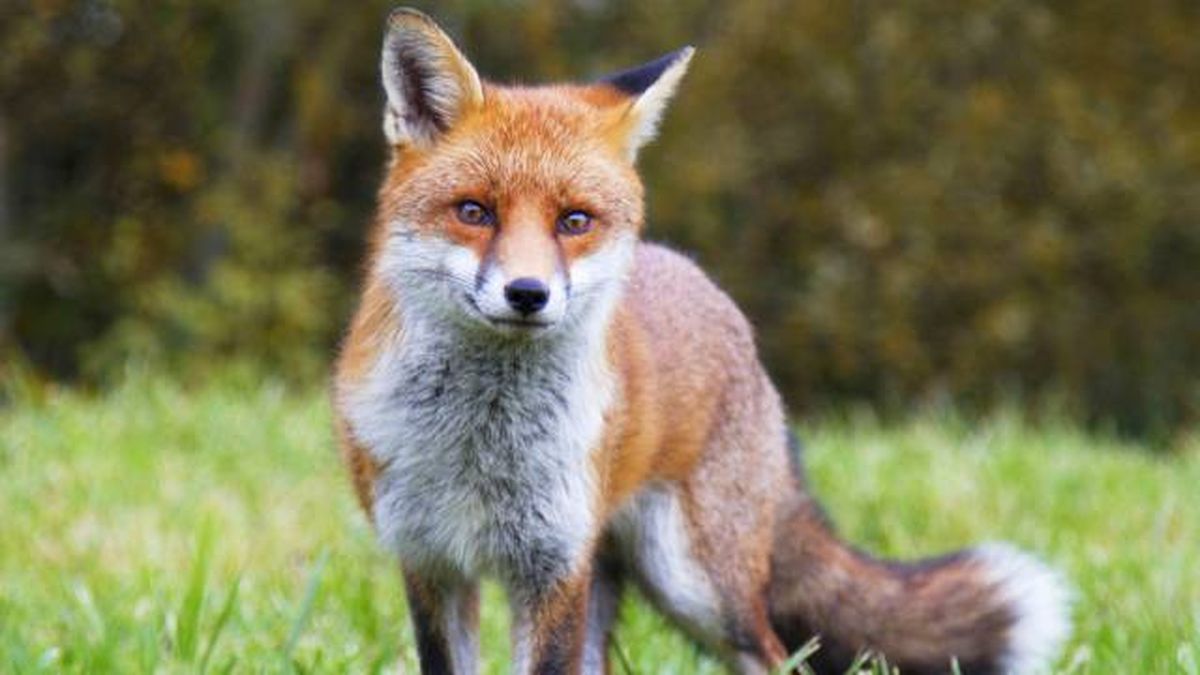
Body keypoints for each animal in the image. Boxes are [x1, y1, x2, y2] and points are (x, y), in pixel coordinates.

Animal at [332, 8, 1072, 675]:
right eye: (474, 212)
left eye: (575, 220)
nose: (528, 293)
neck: (479, 444)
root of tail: (709, 288)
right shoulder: (431, 563)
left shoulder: (553, 567)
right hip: (618, 577)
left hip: (697, 584)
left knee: (777, 657)